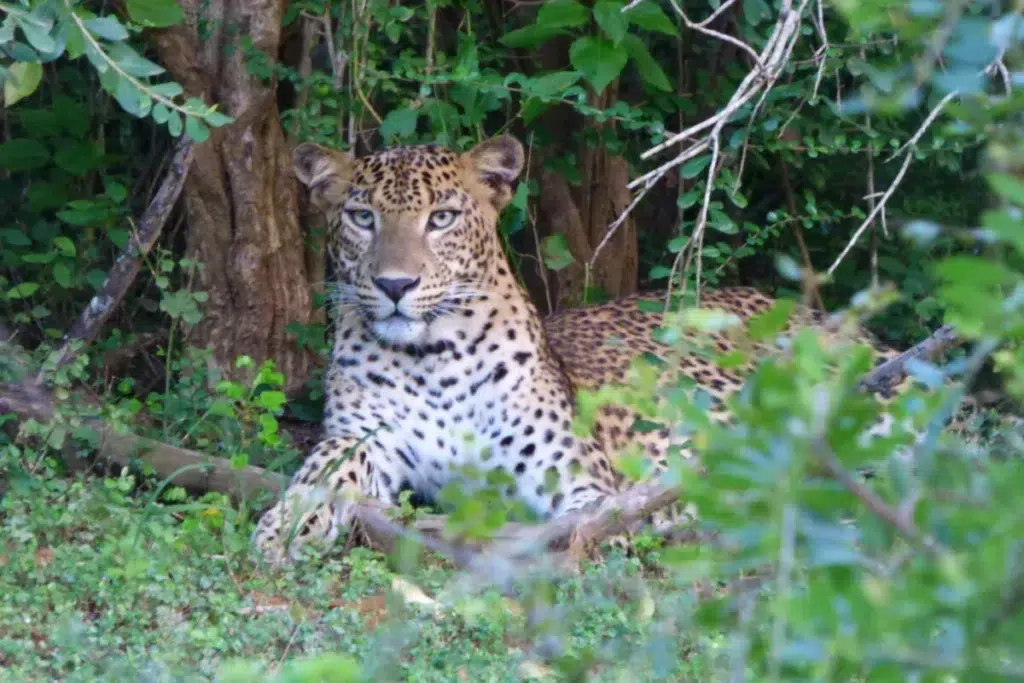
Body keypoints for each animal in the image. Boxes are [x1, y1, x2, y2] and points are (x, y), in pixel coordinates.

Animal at [251, 134, 927, 566]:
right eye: (361, 218)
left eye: (441, 218)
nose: (396, 285)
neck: (432, 359)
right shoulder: (364, 437)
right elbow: (320, 471)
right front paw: (285, 528)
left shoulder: (573, 474)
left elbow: (584, 519)